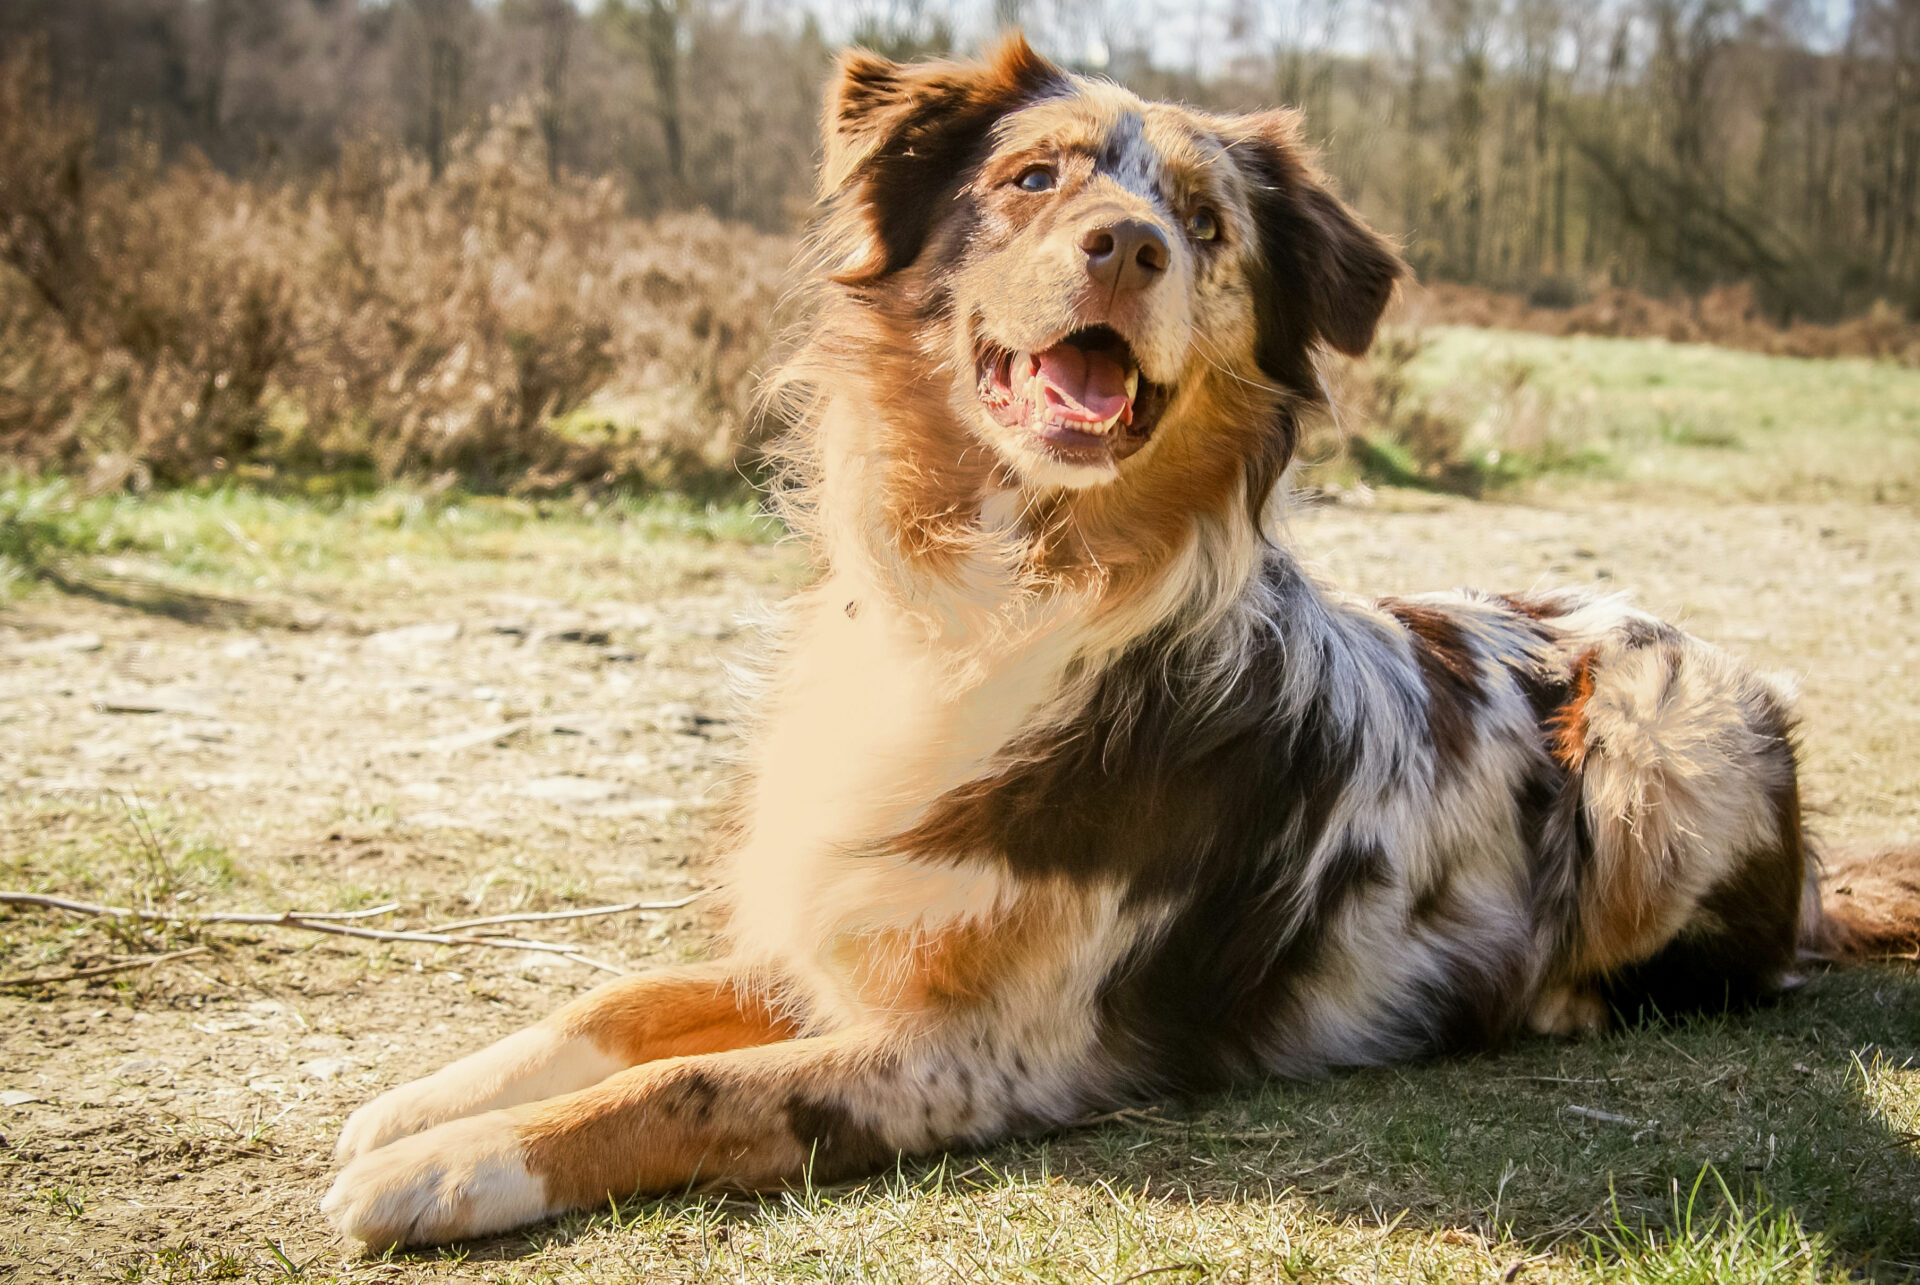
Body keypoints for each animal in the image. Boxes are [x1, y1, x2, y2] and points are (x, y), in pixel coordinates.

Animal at [318, 37, 1920, 1244]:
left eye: (1208, 228)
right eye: (1033, 178)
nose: (1130, 242)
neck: (1002, 585)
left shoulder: (976, 1053)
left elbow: (693, 1090)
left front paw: (447, 1169)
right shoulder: (853, 909)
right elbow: (629, 995)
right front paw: (428, 1099)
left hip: (1669, 745)